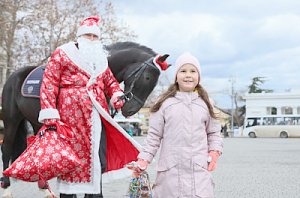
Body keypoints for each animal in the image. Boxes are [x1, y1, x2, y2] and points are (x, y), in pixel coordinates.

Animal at [0, 41, 169, 196]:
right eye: (147, 77)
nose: (130, 110)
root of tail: (13, 76)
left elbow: (99, 161)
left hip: (36, 122)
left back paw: (44, 188)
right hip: (11, 121)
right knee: (6, 149)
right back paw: (7, 188)